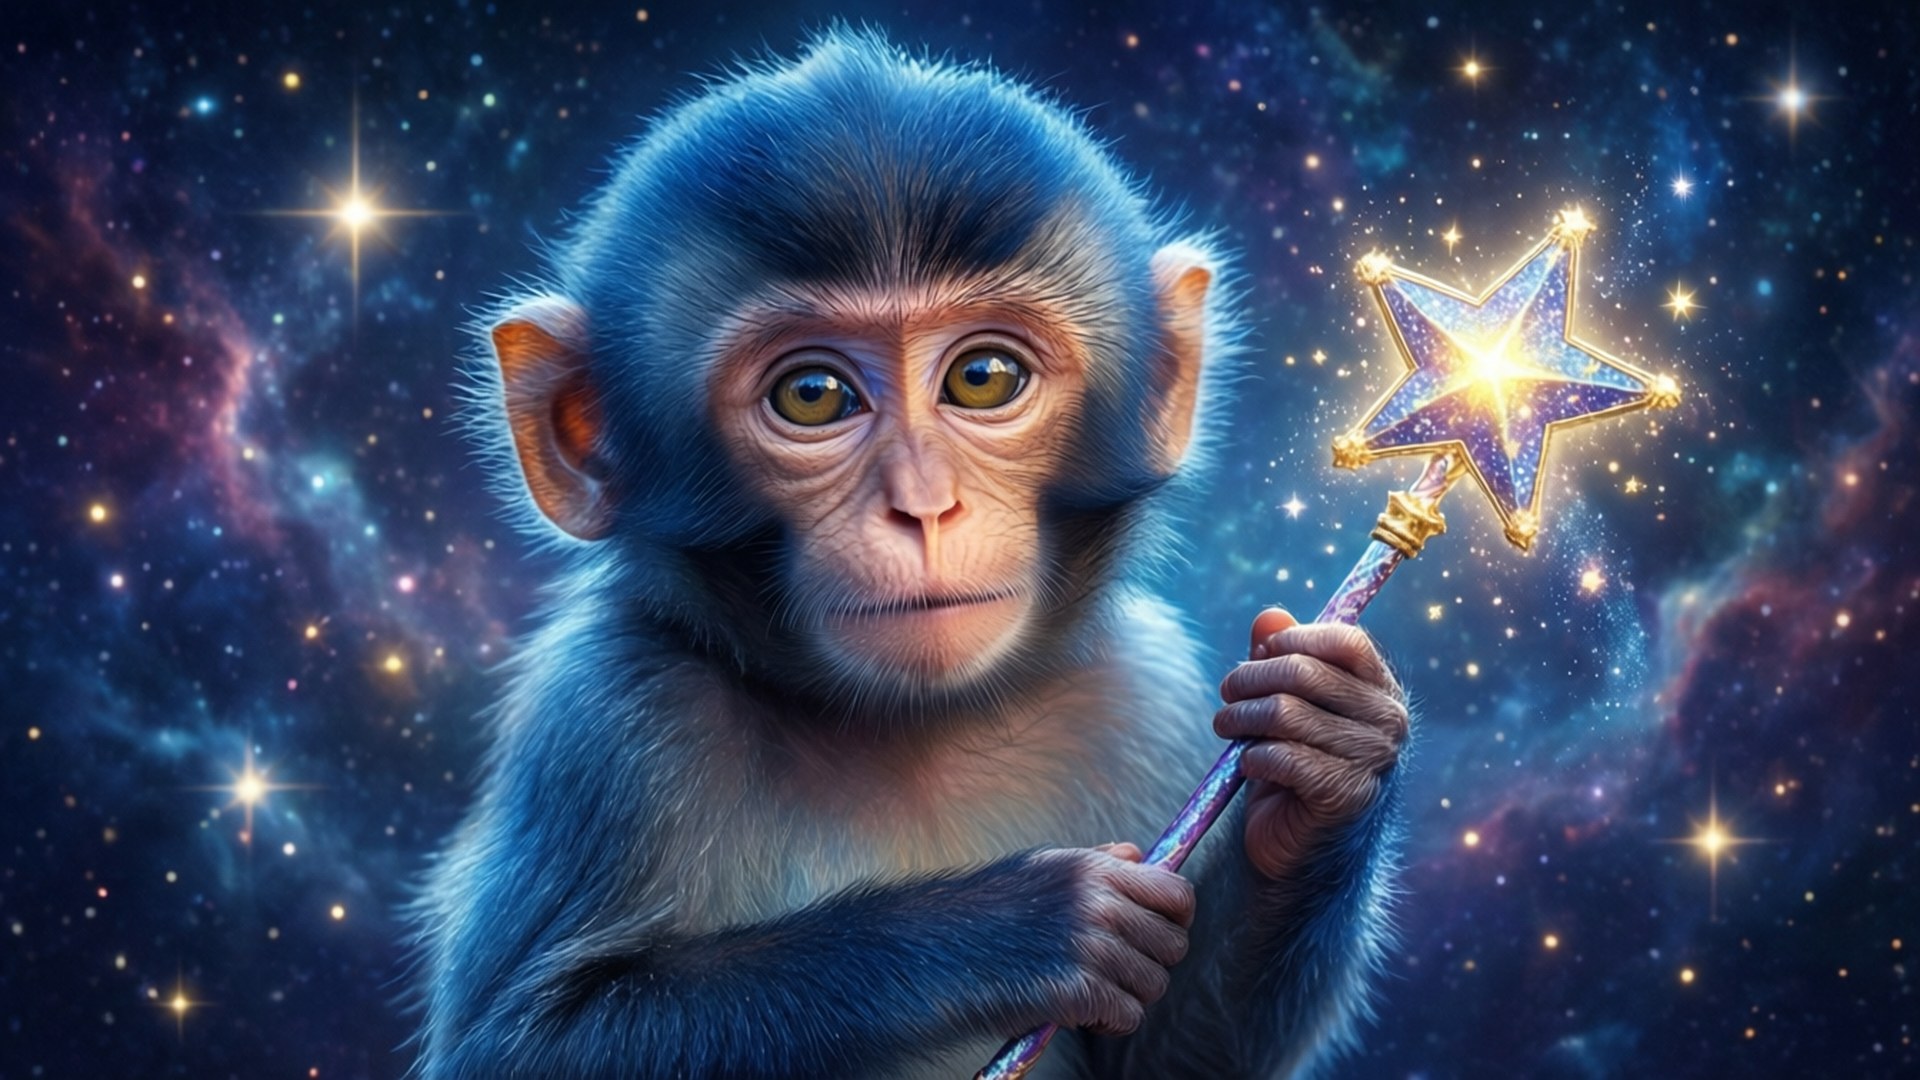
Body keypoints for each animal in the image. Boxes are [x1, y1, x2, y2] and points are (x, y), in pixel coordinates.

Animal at [408, 28, 1410, 1080]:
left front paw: (1332, 748)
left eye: (983, 377)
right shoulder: (614, 719)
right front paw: (1014, 926)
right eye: (812, 395)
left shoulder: (1144, 683)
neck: (910, 725)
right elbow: (522, 1045)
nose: (925, 508)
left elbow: (1171, 1060)